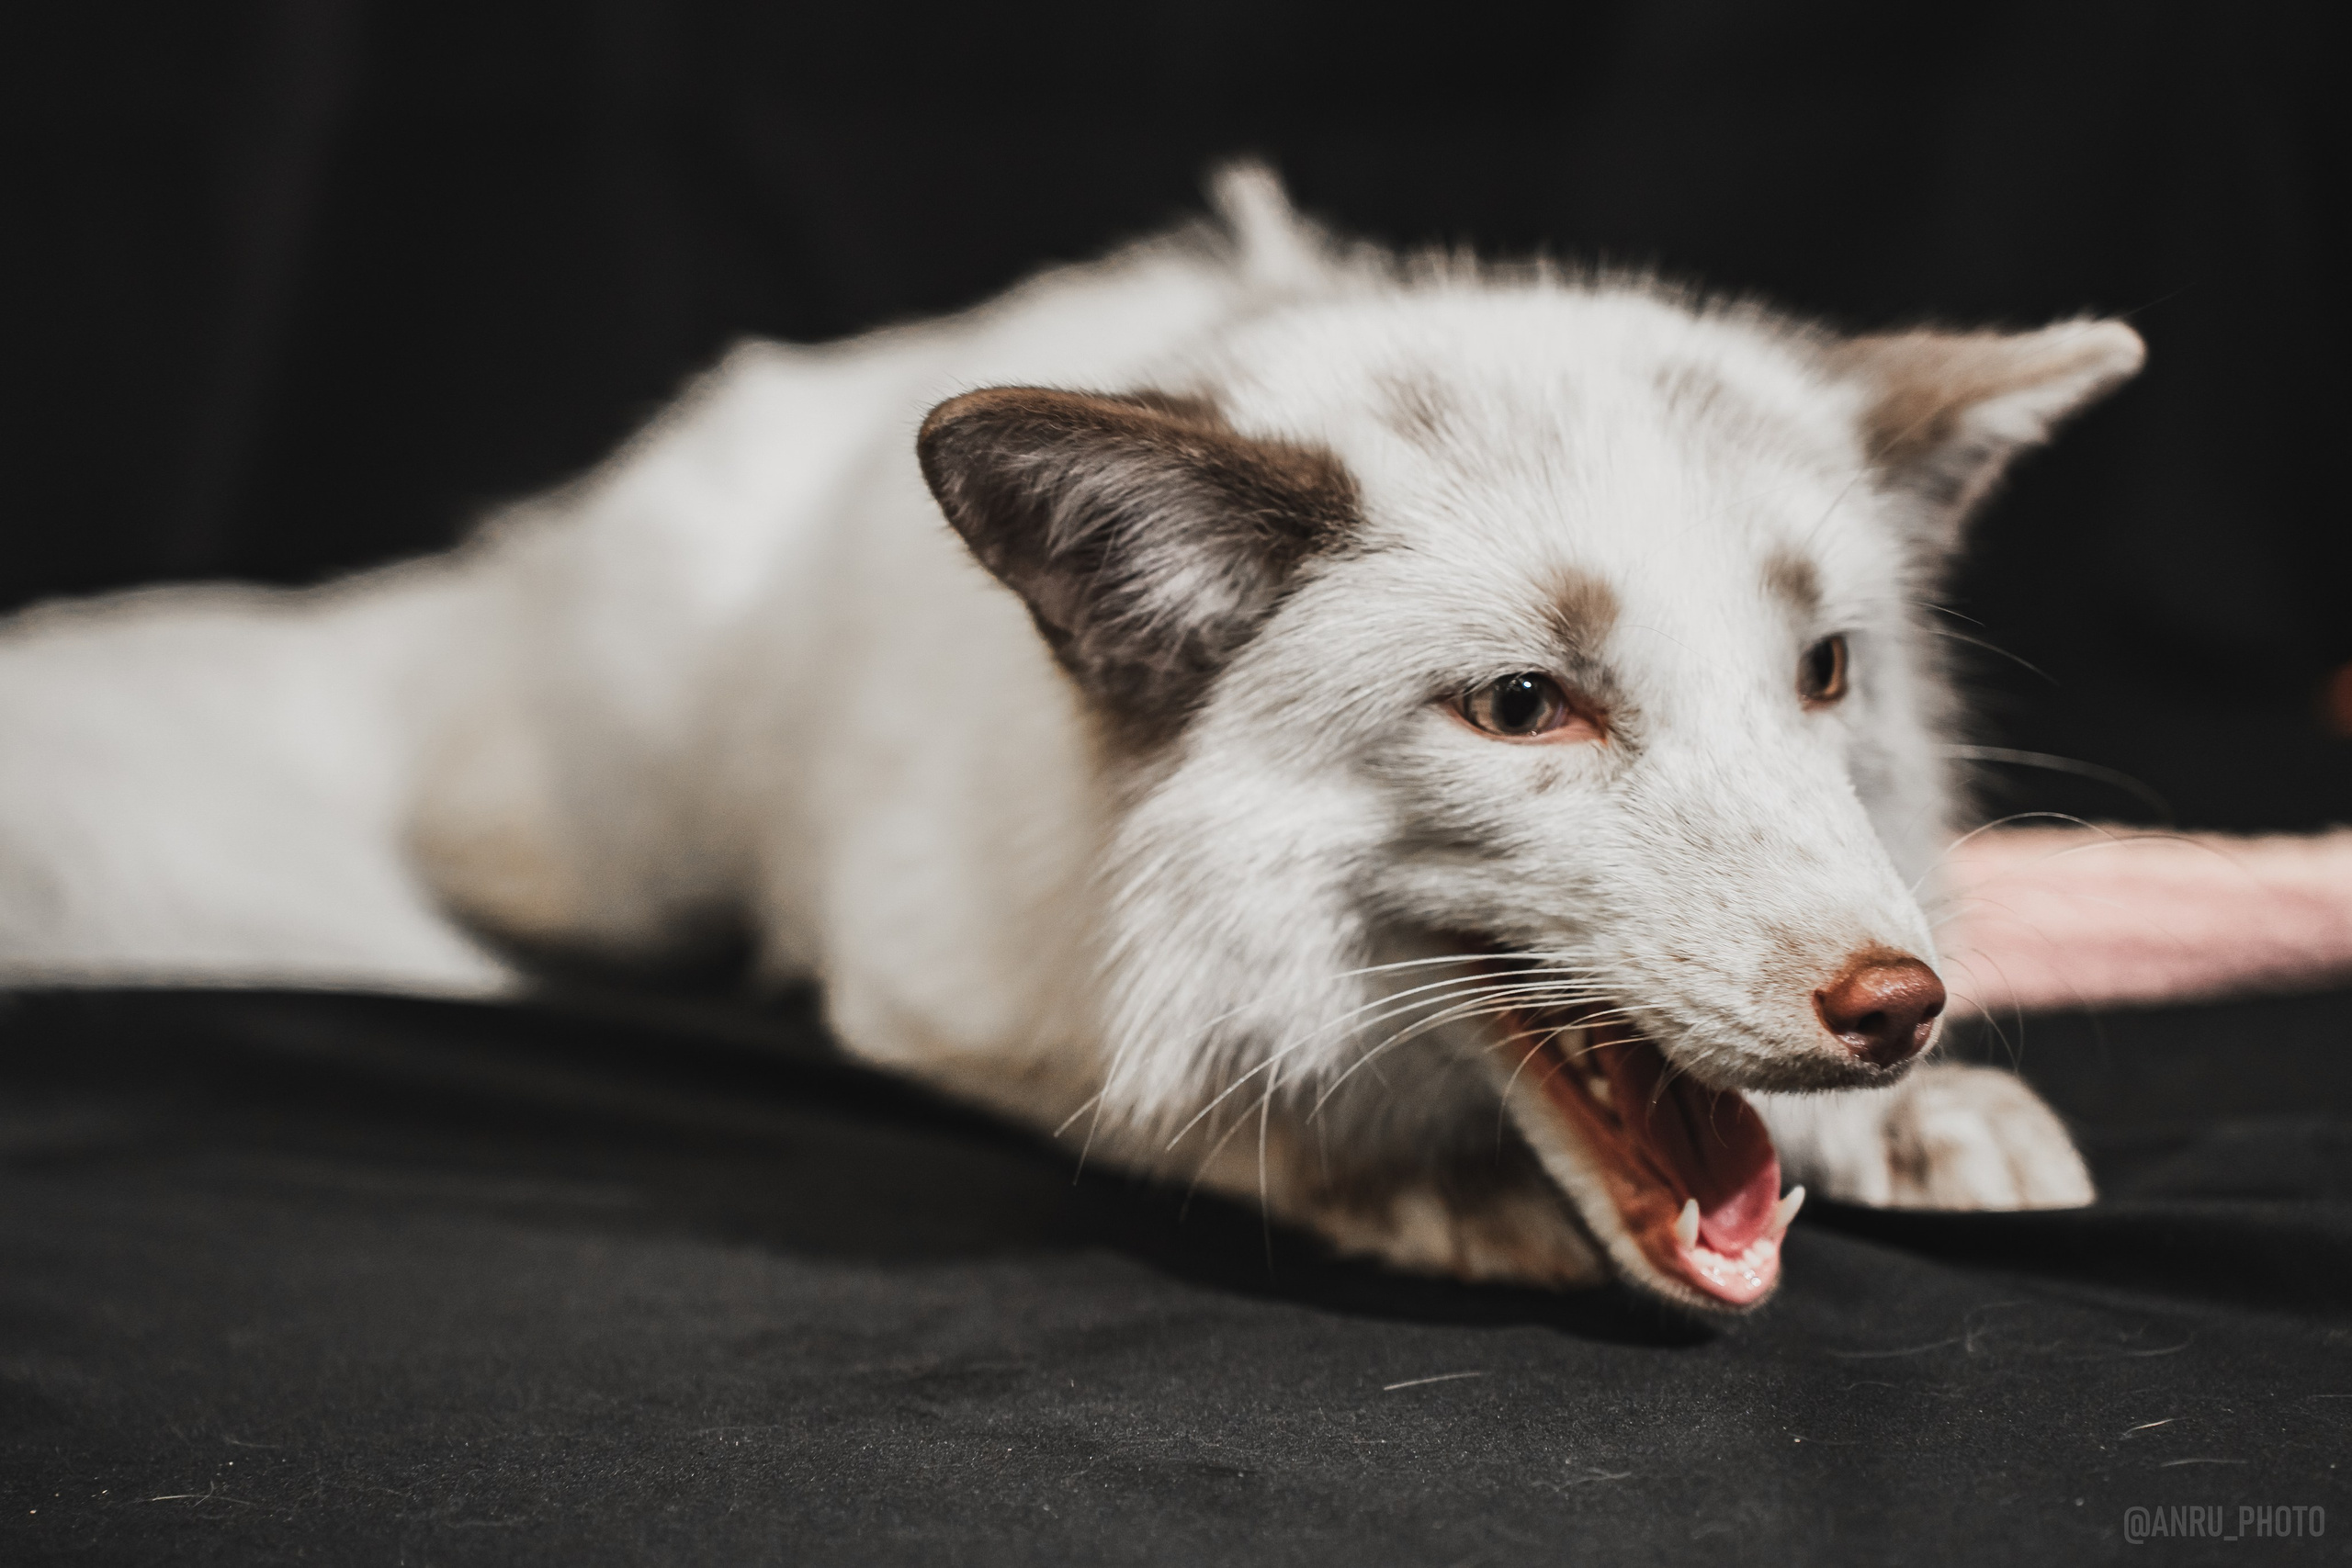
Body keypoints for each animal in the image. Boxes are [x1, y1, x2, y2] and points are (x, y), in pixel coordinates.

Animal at [0, 167, 2142, 1313]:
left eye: (1825, 672)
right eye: (1527, 705)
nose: (1897, 1008)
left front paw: (1918, 1120)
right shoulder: (918, 986)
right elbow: (1156, 1105)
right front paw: (1396, 1189)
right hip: (606, 849)